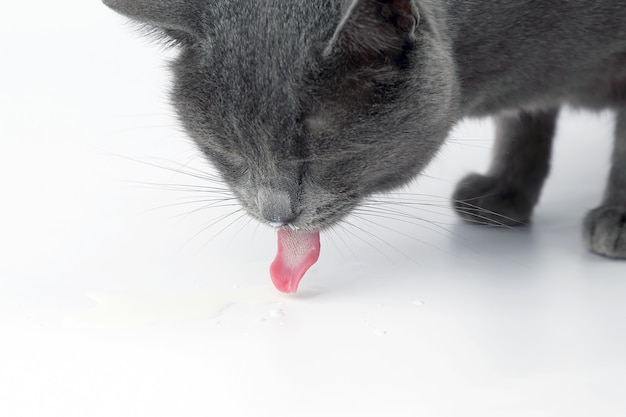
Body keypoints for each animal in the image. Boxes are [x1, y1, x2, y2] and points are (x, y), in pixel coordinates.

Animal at [102, 0, 624, 260]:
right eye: (226, 151)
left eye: (319, 154)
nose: (276, 215)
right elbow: (523, 119)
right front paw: (504, 192)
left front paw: (617, 220)